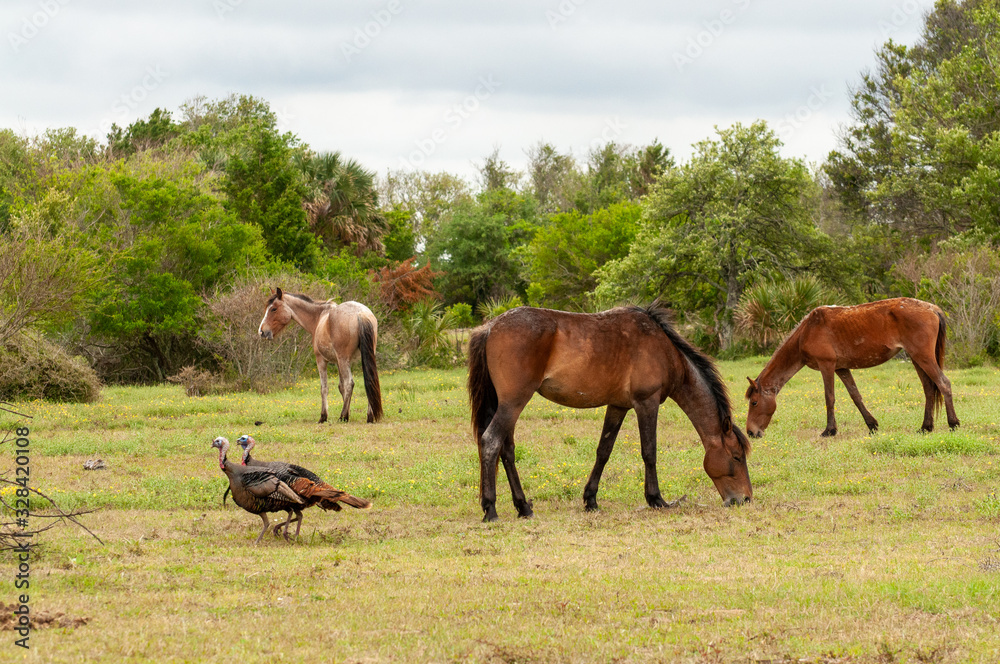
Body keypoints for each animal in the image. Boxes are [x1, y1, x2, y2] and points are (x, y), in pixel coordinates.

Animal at [258, 288, 382, 422]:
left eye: (273, 309)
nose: (262, 331)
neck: (318, 317)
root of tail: (360, 314)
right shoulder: (338, 362)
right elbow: (341, 387)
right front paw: (347, 412)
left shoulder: (322, 360)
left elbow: (325, 388)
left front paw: (324, 416)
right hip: (363, 357)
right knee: (370, 381)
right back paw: (369, 416)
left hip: (343, 359)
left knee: (350, 383)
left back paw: (343, 416)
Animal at [468, 302, 752, 524]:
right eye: (737, 457)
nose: (745, 499)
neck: (665, 351)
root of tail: (490, 327)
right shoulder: (646, 403)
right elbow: (649, 451)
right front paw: (656, 499)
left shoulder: (618, 406)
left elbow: (603, 451)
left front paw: (591, 500)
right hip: (513, 403)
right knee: (491, 442)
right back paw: (490, 509)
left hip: (508, 404)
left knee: (507, 450)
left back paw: (523, 507)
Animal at [748, 298, 956, 438]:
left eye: (754, 403)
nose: (750, 432)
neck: (807, 331)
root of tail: (932, 308)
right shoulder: (842, 368)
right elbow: (855, 396)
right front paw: (872, 425)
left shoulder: (827, 365)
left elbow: (829, 397)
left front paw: (829, 430)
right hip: (916, 358)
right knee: (929, 389)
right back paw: (925, 427)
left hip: (923, 357)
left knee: (943, 383)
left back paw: (953, 423)